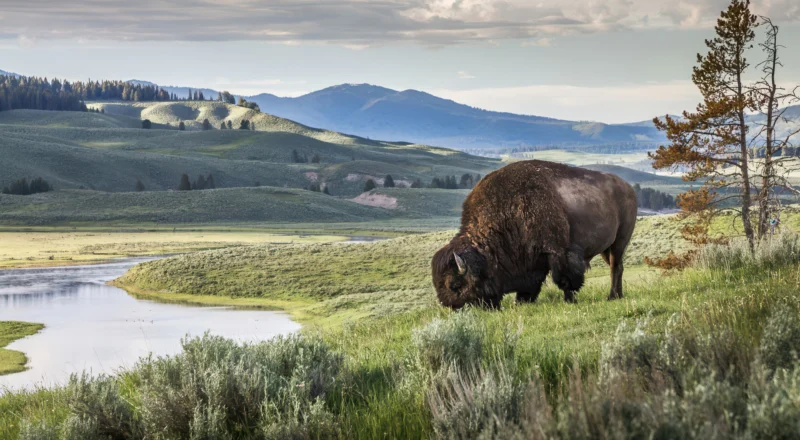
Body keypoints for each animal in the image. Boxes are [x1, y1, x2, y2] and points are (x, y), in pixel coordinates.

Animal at [432, 160, 637, 309]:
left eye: (455, 285)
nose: (455, 308)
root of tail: (628, 188)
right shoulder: (531, 261)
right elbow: (532, 284)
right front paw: (521, 301)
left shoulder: (558, 252)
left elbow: (565, 278)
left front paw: (569, 300)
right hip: (606, 248)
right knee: (618, 267)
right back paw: (618, 295)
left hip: (620, 241)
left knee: (615, 267)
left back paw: (612, 296)